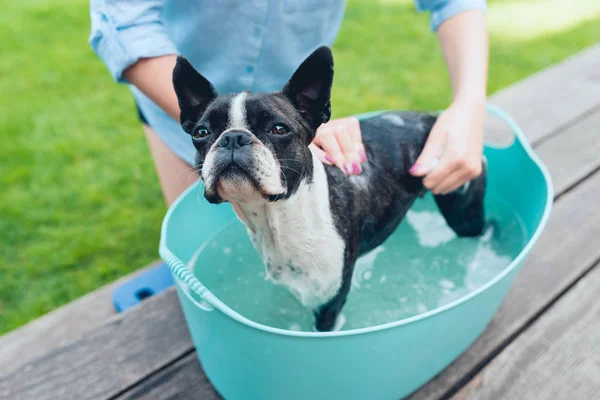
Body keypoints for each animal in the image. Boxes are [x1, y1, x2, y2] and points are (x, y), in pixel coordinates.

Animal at [170, 46, 488, 332]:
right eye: (201, 133)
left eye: (278, 129)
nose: (233, 137)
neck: (279, 218)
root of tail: (434, 119)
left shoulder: (328, 304)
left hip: (462, 212)